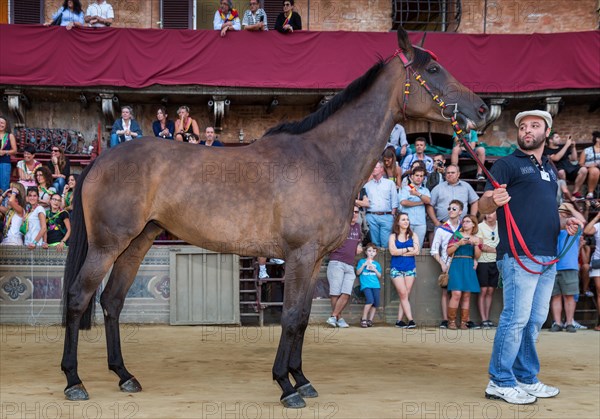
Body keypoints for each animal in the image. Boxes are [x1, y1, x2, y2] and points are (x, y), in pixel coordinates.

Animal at [63, 29, 490, 410]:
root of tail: (100, 160)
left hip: (137, 242)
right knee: (79, 297)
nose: (483, 109)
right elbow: (289, 317)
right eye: (433, 68)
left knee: (112, 301)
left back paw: (124, 375)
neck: (324, 159)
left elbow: (300, 318)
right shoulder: (299, 255)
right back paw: (74, 381)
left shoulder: (314, 260)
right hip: (107, 245)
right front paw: (286, 386)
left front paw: (301, 379)